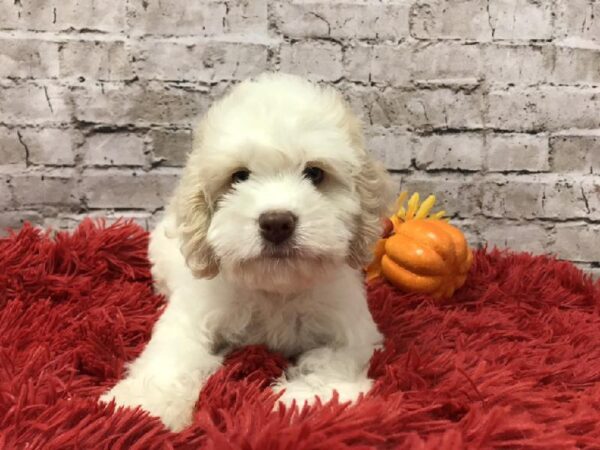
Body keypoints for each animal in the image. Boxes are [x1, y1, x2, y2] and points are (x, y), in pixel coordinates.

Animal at [101, 72, 396, 430]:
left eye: (315, 173)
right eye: (239, 176)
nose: (277, 223)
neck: (275, 289)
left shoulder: (351, 331)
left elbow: (330, 364)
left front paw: (301, 402)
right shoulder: (191, 315)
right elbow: (173, 356)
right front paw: (142, 406)